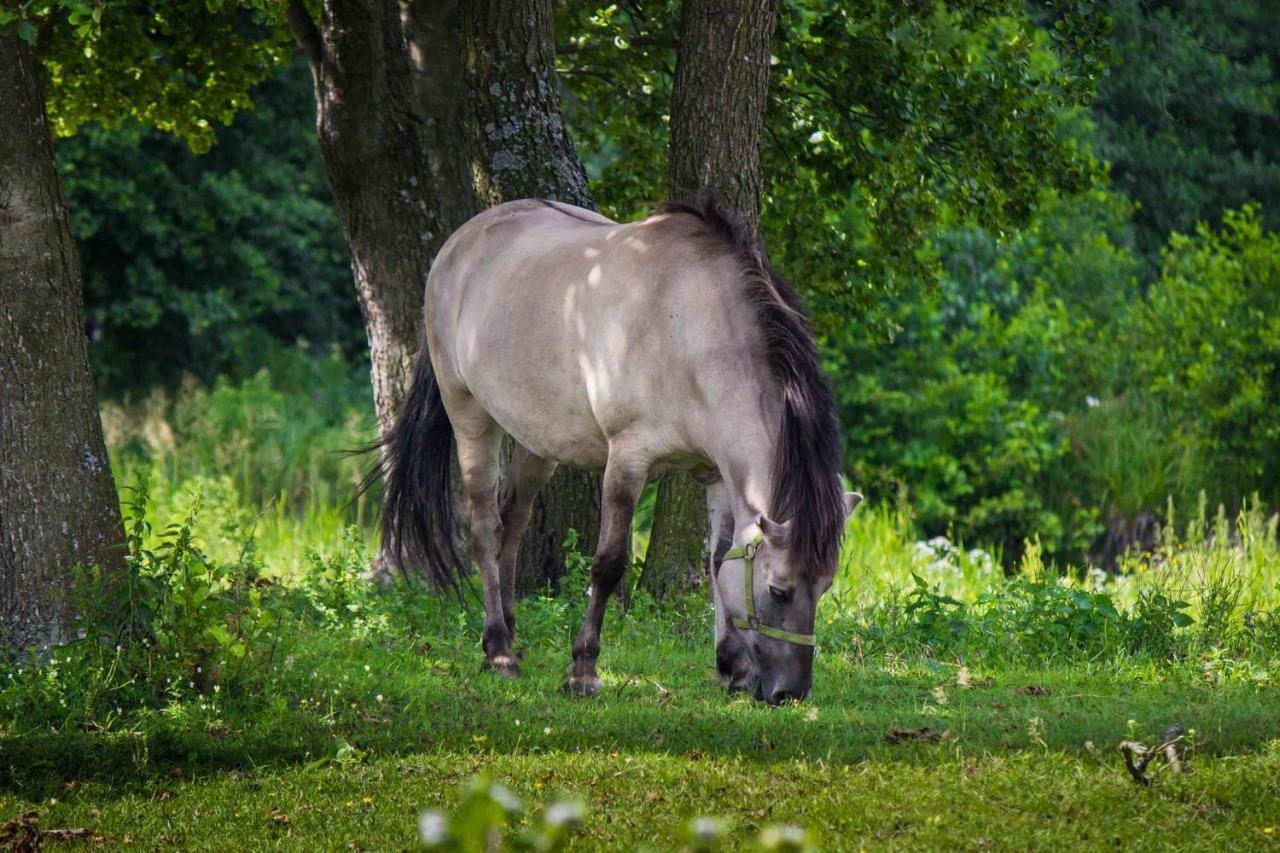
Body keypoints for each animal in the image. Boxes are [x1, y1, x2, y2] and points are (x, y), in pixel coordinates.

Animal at [378, 189, 860, 701]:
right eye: (779, 591)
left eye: (824, 588)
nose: (791, 693)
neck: (685, 324)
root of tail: (455, 247)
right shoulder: (628, 459)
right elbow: (608, 564)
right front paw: (583, 670)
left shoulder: (715, 472)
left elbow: (717, 560)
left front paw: (732, 666)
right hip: (470, 416)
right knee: (486, 530)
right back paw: (498, 651)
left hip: (539, 443)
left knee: (513, 526)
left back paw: (509, 632)